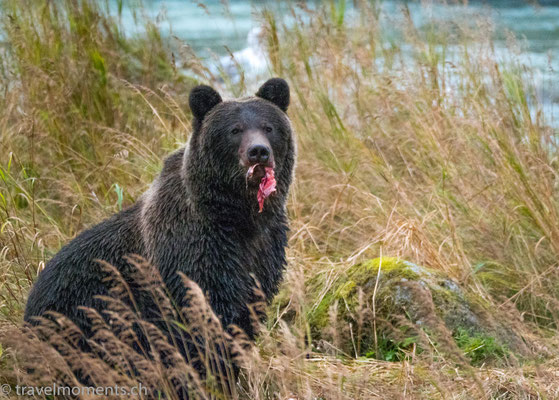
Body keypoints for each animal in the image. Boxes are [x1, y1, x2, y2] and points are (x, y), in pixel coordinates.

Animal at [24, 76, 296, 360]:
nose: (258, 151)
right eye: (235, 130)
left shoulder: (263, 250)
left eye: (268, 127)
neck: (237, 216)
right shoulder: (195, 253)